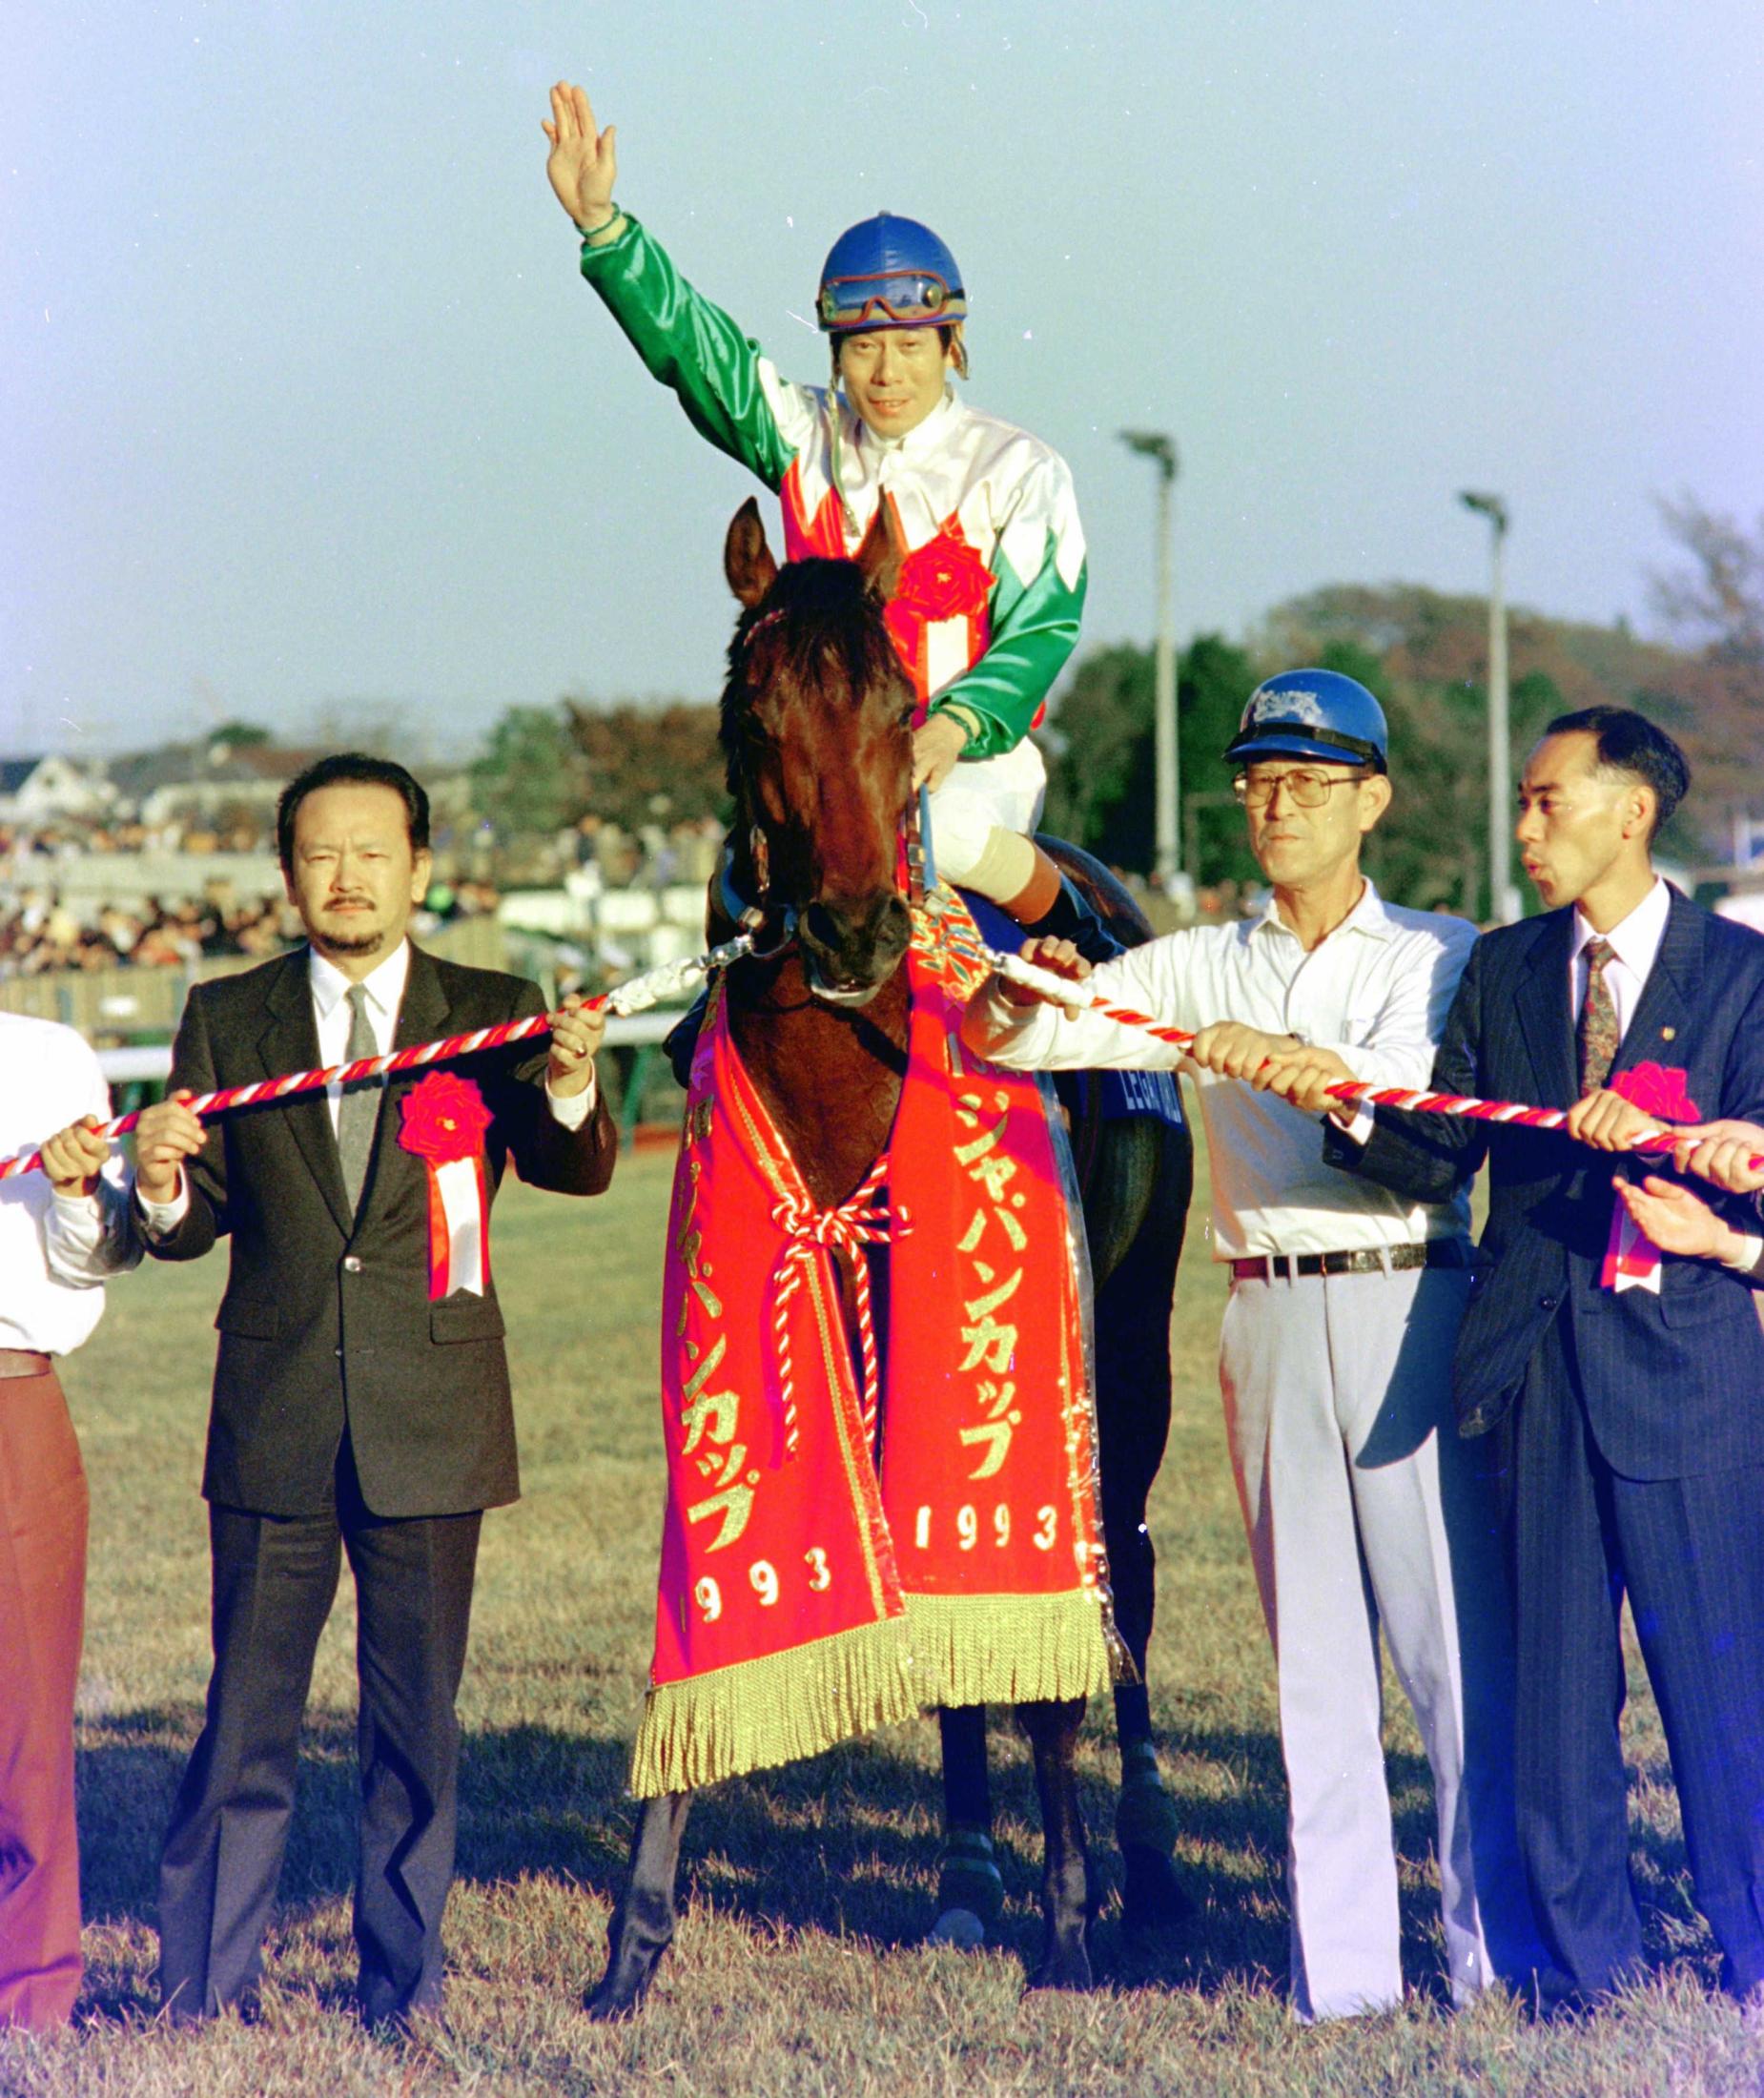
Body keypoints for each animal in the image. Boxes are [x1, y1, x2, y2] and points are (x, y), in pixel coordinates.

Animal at [583, 495, 1191, 2014]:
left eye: (899, 704)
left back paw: (1146, 1865)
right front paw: (632, 1939)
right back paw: (968, 1878)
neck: (843, 1073)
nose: (854, 924)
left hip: (1132, 1337)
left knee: (1125, 1568)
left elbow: (1049, 1633)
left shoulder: (1026, 1347)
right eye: (751, 712)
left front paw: (1073, 1925)